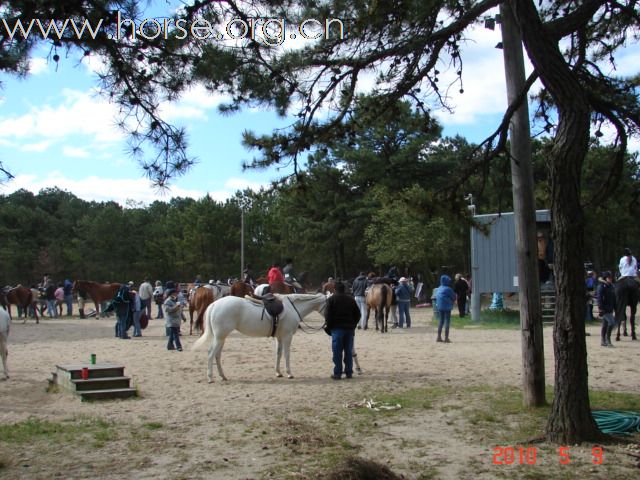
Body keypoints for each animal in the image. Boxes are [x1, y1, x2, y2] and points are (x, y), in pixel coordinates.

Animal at [192, 292, 328, 382]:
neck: (292, 307)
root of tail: (214, 304)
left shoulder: (279, 337)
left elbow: (278, 353)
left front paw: (278, 373)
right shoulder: (287, 336)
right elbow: (286, 354)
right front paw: (289, 373)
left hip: (221, 338)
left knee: (217, 355)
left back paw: (223, 376)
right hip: (220, 337)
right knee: (211, 354)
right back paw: (210, 378)